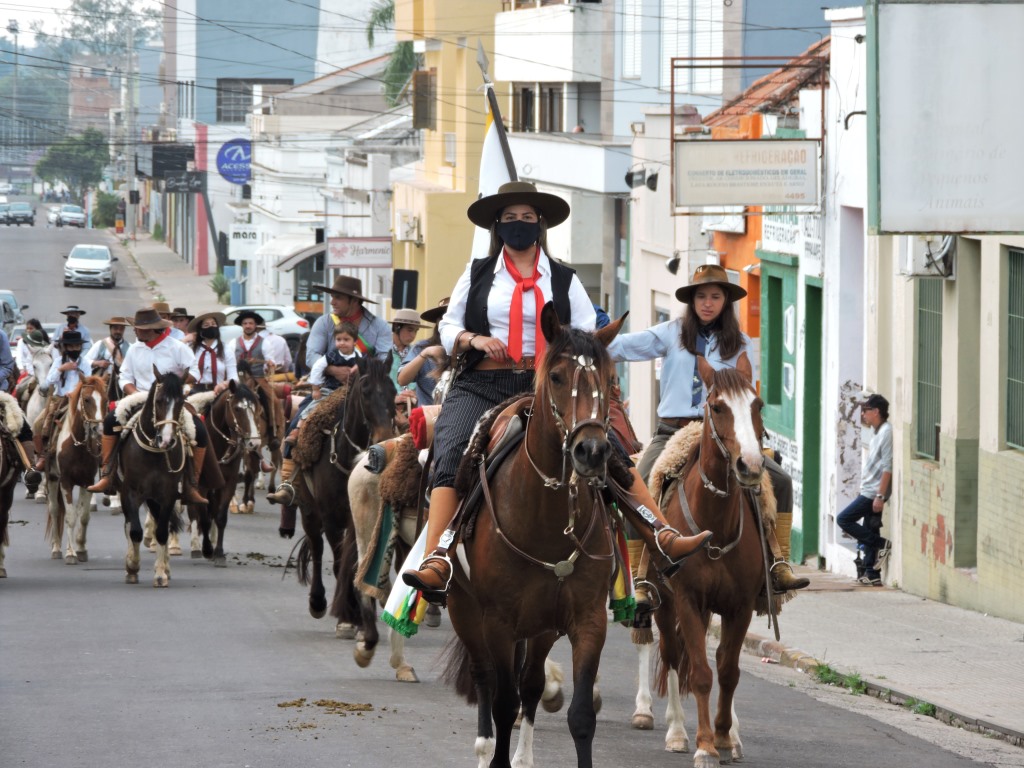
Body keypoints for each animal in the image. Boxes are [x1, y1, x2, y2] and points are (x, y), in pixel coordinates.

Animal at [44, 378, 107, 565]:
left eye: (106, 400)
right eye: (87, 399)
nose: (98, 429)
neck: (77, 445)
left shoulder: (88, 482)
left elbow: (84, 516)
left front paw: (81, 549)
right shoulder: (66, 482)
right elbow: (70, 516)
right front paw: (70, 553)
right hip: (52, 479)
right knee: (55, 510)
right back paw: (57, 548)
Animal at [438, 307, 618, 768]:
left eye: (609, 377)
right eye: (556, 376)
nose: (592, 451)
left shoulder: (588, 620)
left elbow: (580, 716)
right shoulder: (497, 622)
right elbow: (503, 704)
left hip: (541, 627)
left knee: (532, 682)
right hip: (467, 611)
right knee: (486, 681)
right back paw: (484, 748)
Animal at [647, 364, 770, 765]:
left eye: (758, 404)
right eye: (717, 407)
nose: (751, 465)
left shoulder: (740, 606)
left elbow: (728, 670)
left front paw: (724, 739)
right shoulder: (686, 600)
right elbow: (700, 672)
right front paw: (704, 745)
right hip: (665, 603)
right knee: (673, 653)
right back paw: (676, 731)